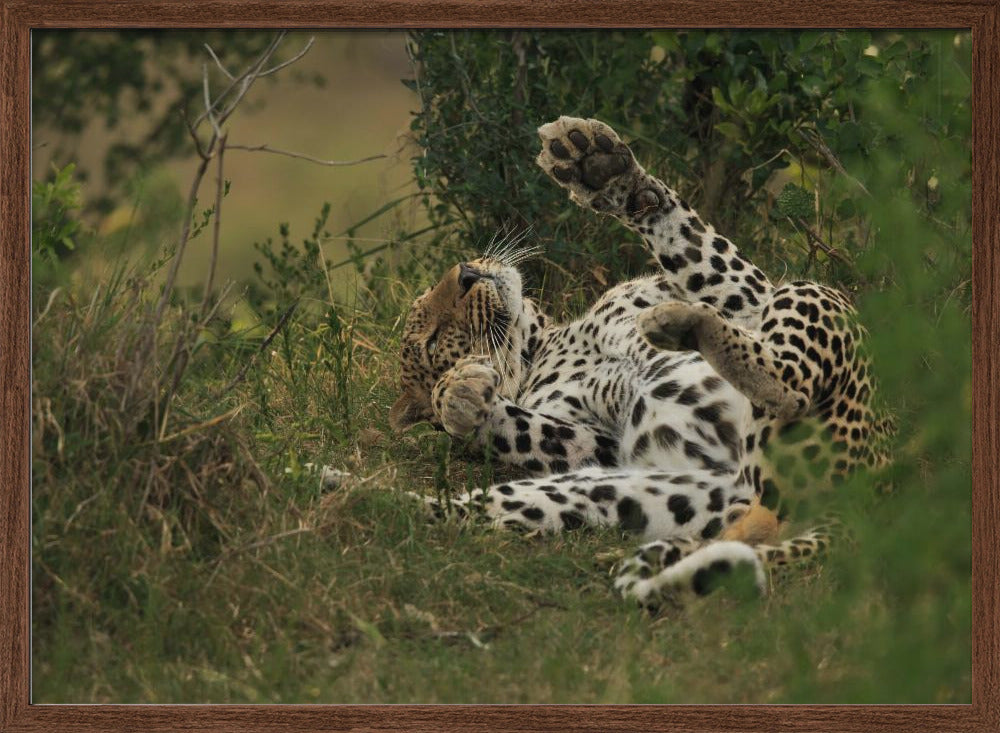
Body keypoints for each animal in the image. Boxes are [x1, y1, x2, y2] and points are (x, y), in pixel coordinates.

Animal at [389, 116, 893, 607]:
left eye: (439, 286)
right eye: (433, 340)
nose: (466, 273)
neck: (546, 342)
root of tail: (869, 497)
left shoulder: (750, 299)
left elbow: (693, 243)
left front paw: (595, 163)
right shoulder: (598, 444)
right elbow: (528, 426)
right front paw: (459, 395)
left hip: (811, 298)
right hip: (630, 489)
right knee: (788, 392)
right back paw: (381, 500)